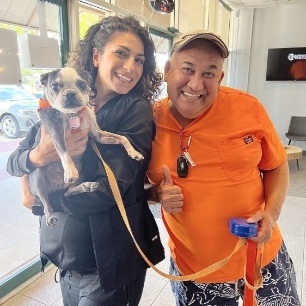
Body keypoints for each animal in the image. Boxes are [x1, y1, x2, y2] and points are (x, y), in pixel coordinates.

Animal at [28, 67, 143, 225]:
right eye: (55, 86)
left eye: (82, 84)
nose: (70, 93)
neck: (73, 114)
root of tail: (56, 188)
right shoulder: (55, 132)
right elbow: (64, 150)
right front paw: (70, 171)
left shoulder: (98, 134)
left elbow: (123, 137)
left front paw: (134, 152)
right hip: (38, 176)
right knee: (46, 201)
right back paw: (50, 215)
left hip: (81, 175)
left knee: (68, 192)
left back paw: (87, 185)